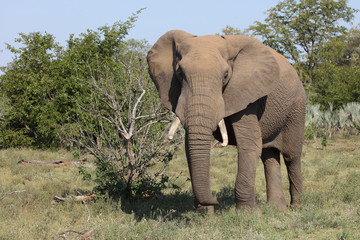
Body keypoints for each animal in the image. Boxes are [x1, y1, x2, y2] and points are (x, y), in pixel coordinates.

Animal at [148, 30, 306, 212]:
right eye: (180, 74)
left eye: (225, 76)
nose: (216, 199)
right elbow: (189, 146)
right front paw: (204, 215)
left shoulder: (247, 92)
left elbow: (249, 143)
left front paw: (249, 214)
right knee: (269, 155)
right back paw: (276, 209)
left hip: (297, 108)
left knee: (291, 156)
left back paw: (296, 207)